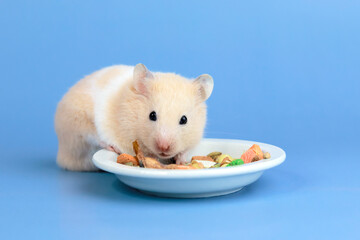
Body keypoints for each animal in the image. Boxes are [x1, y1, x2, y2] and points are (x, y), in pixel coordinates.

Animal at [54, 63, 214, 171]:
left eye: (184, 119)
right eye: (152, 115)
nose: (164, 147)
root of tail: (61, 156)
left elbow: (185, 150)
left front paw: (181, 161)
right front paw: (155, 162)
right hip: (77, 123)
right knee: (92, 137)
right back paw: (111, 147)